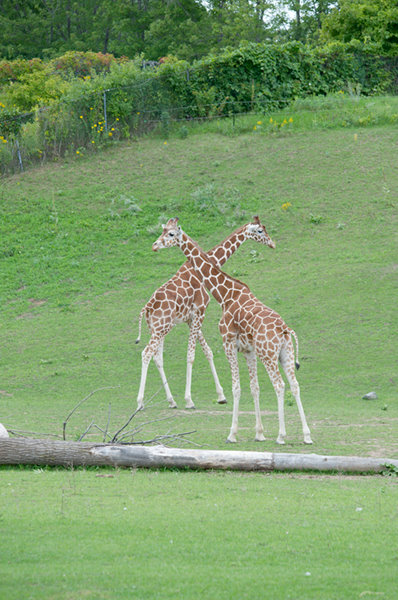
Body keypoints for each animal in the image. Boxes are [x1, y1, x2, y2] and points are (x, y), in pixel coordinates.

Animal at [135, 218, 276, 410]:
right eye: (260, 231)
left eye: (167, 232)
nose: (272, 243)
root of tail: (147, 308)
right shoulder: (200, 311)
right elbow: (191, 355)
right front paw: (189, 400)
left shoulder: (191, 317)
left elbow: (207, 351)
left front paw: (221, 396)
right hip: (160, 327)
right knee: (146, 353)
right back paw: (140, 402)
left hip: (159, 328)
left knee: (157, 357)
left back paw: (171, 401)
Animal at [152, 218, 310, 442]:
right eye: (164, 230)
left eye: (171, 234)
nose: (155, 245)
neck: (224, 295)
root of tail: (285, 329)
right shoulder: (248, 350)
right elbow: (254, 388)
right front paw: (259, 433)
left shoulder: (228, 343)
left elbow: (236, 388)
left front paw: (232, 434)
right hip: (284, 354)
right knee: (295, 385)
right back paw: (306, 435)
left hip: (269, 354)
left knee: (280, 385)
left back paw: (281, 435)